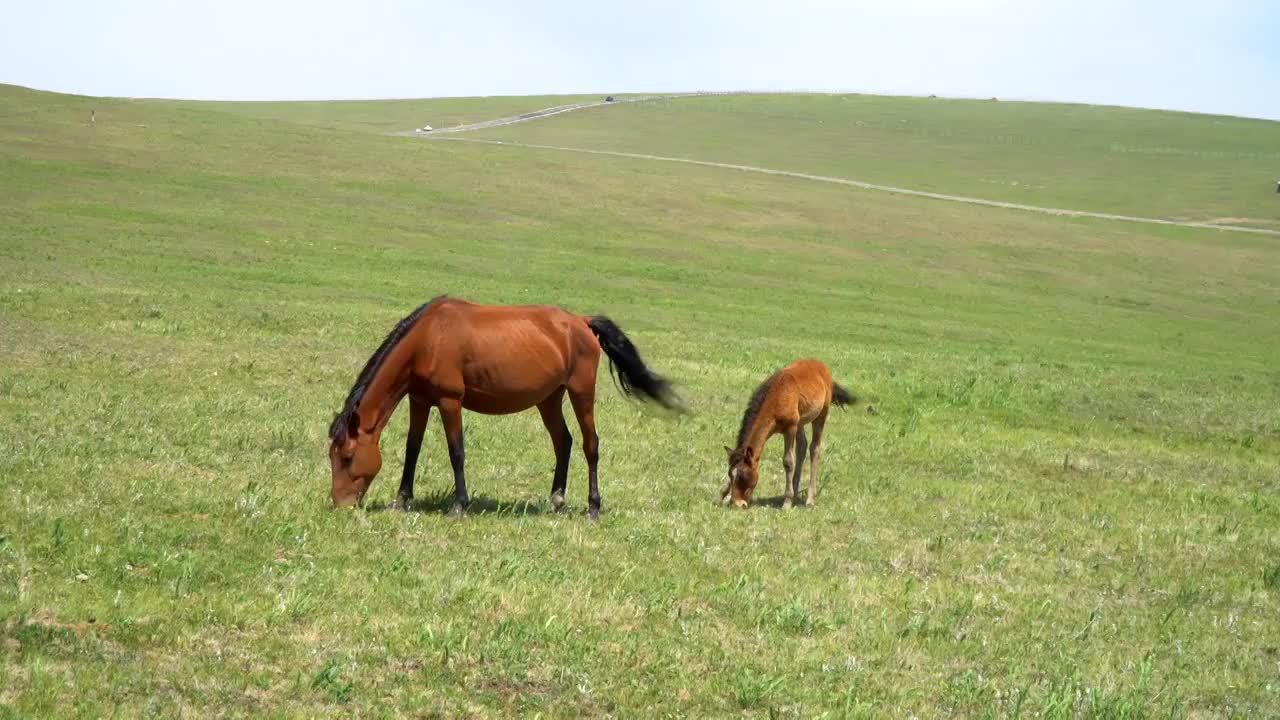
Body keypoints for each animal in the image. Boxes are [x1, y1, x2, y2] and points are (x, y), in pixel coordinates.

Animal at [327, 294, 680, 517]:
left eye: (347, 457)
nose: (340, 504)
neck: (428, 338)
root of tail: (581, 322)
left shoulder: (450, 401)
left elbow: (456, 451)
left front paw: (460, 505)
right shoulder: (420, 399)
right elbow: (412, 448)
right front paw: (401, 501)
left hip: (580, 391)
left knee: (589, 444)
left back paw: (593, 507)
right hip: (549, 398)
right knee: (562, 441)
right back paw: (556, 499)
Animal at [721, 356, 860, 507]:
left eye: (743, 475)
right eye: (731, 474)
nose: (737, 503)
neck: (776, 397)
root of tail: (822, 367)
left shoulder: (790, 429)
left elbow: (788, 462)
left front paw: (787, 502)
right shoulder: (794, 425)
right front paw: (724, 494)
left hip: (821, 415)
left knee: (814, 448)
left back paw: (809, 499)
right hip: (800, 421)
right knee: (802, 447)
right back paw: (795, 490)